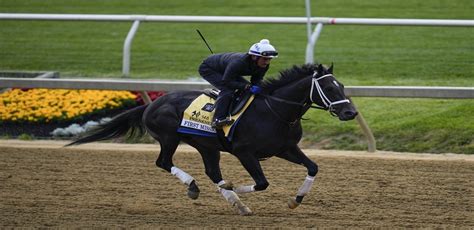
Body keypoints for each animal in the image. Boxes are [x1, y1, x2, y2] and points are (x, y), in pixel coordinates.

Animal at [65, 63, 356, 216]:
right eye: (328, 88)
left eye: (342, 86)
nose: (350, 112)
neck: (275, 111)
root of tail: (153, 103)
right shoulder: (244, 152)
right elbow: (262, 183)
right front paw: (233, 186)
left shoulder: (286, 148)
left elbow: (313, 167)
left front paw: (295, 200)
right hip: (169, 137)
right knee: (164, 162)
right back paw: (197, 187)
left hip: (207, 146)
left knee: (211, 171)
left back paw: (237, 204)